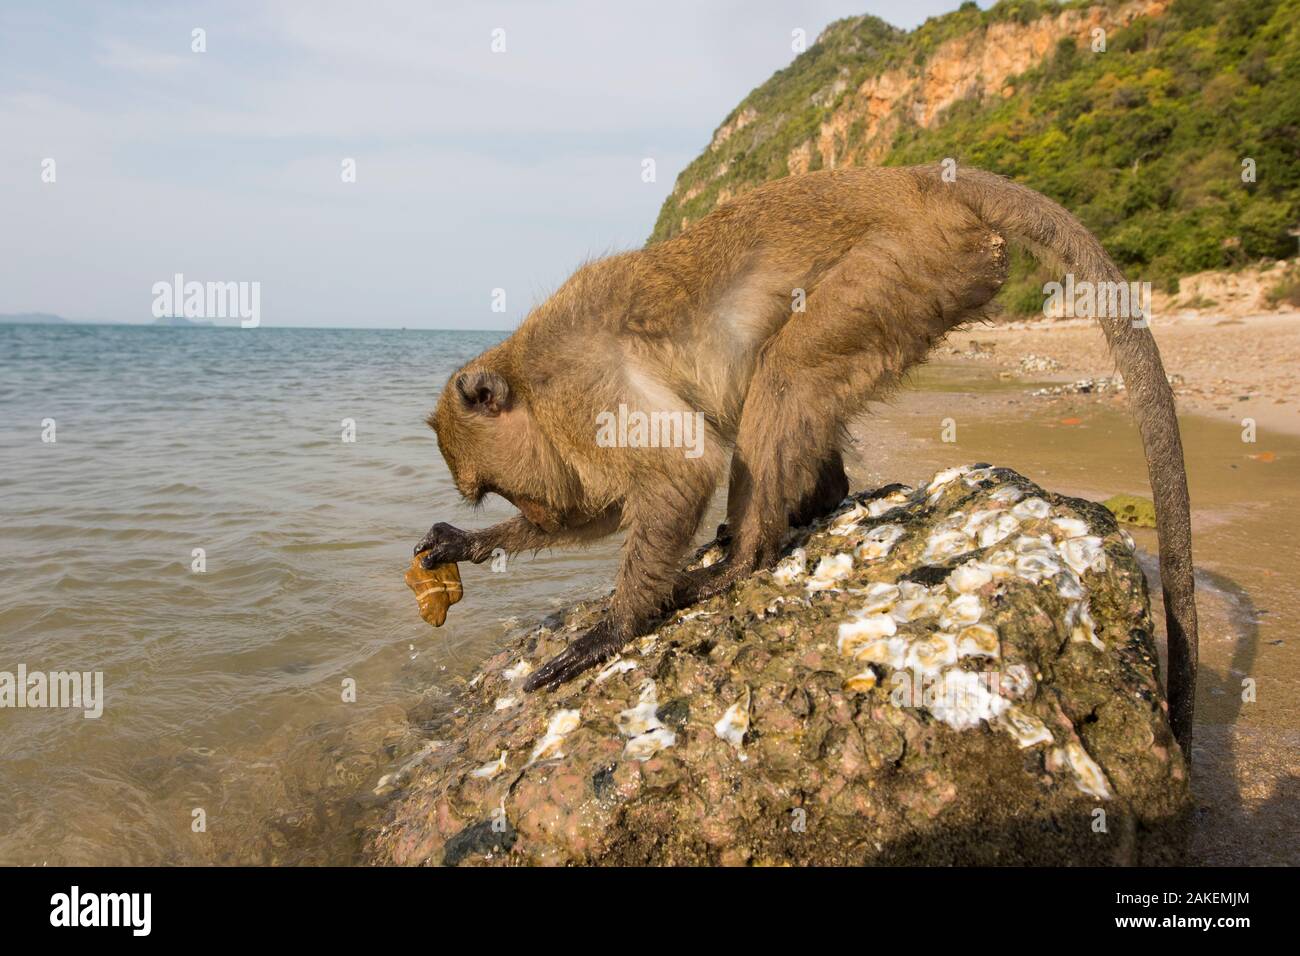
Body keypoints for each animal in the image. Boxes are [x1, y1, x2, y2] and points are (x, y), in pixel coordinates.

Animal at [418, 166, 1196, 754]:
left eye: (500, 486)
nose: (535, 509)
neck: (525, 371)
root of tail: (923, 180)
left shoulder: (575, 384)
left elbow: (681, 470)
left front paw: (614, 628)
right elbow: (609, 508)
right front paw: (464, 545)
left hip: (908, 265)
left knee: (785, 371)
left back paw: (743, 560)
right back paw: (815, 501)